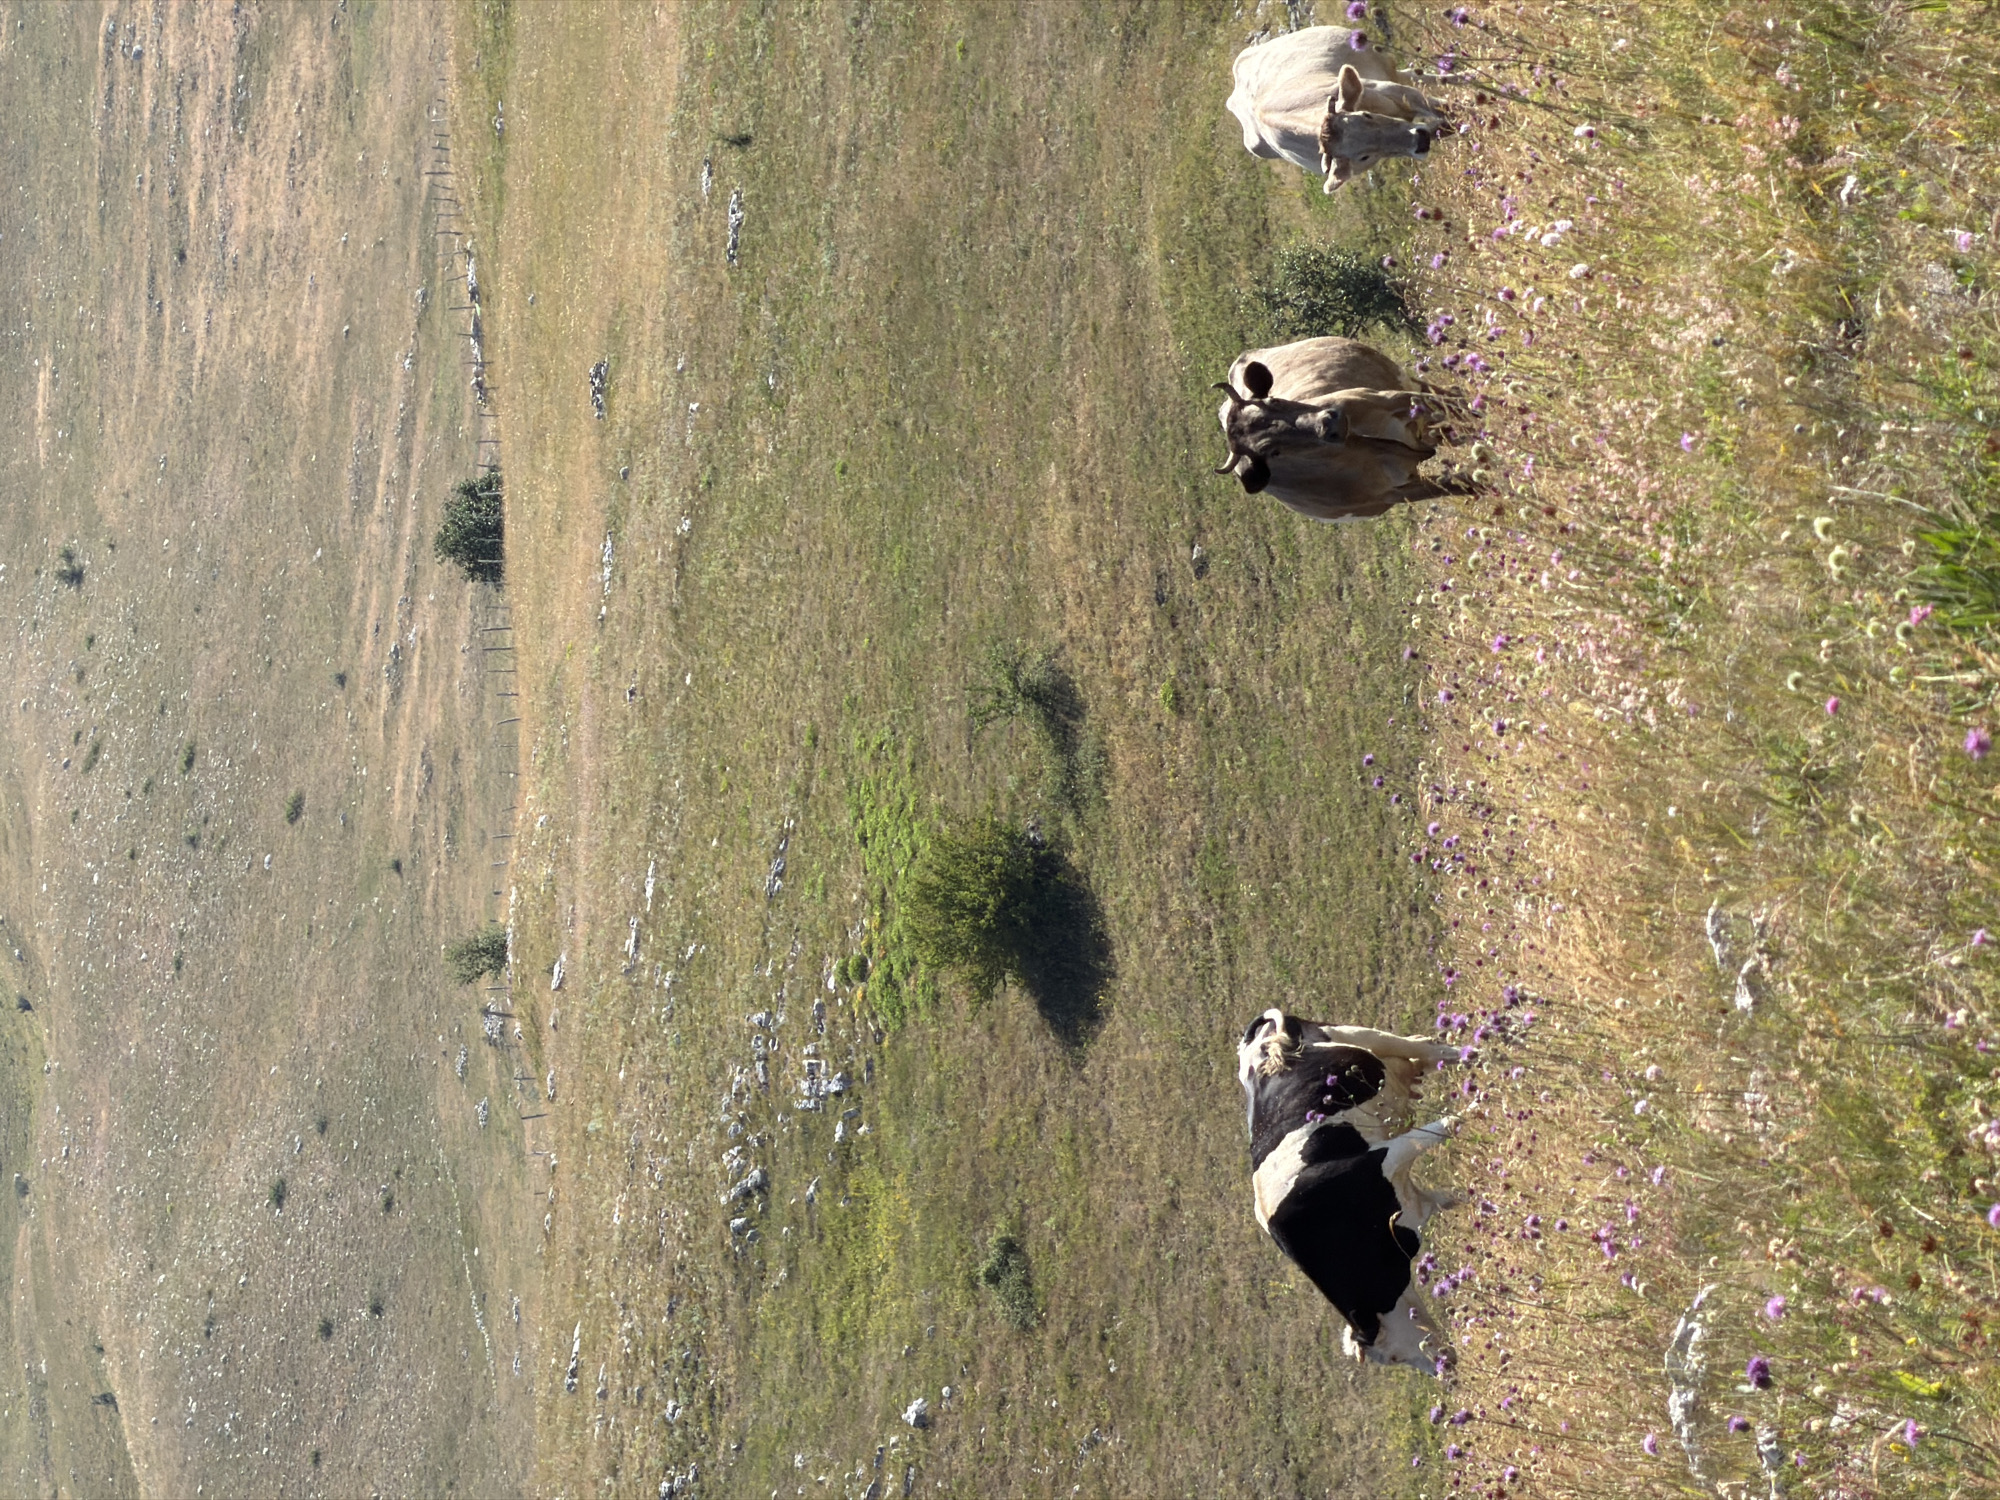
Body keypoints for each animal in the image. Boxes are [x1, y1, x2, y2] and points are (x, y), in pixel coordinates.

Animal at [1214, 336, 1471, 520]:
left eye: (1274, 400)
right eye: (1272, 452)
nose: (1330, 422)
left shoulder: (1389, 398)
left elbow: (1455, 407)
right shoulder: (1395, 492)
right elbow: (1462, 485)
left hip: (1398, 376)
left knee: (1446, 398)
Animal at [1226, 27, 1447, 192]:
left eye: (1366, 116)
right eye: (1363, 157)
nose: (1421, 140)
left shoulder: (1385, 89)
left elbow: (1440, 108)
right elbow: (1440, 125)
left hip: (1379, 60)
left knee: (1416, 76)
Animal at [1237, 1008, 1468, 1372]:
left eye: (1393, 1356)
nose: (1446, 1372)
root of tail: (1250, 1047)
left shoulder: (1383, 1157)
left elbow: (1445, 1126)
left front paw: (1476, 1111)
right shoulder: (1417, 1199)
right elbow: (1454, 1198)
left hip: (1357, 1036)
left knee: (1431, 1051)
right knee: (1423, 1052)